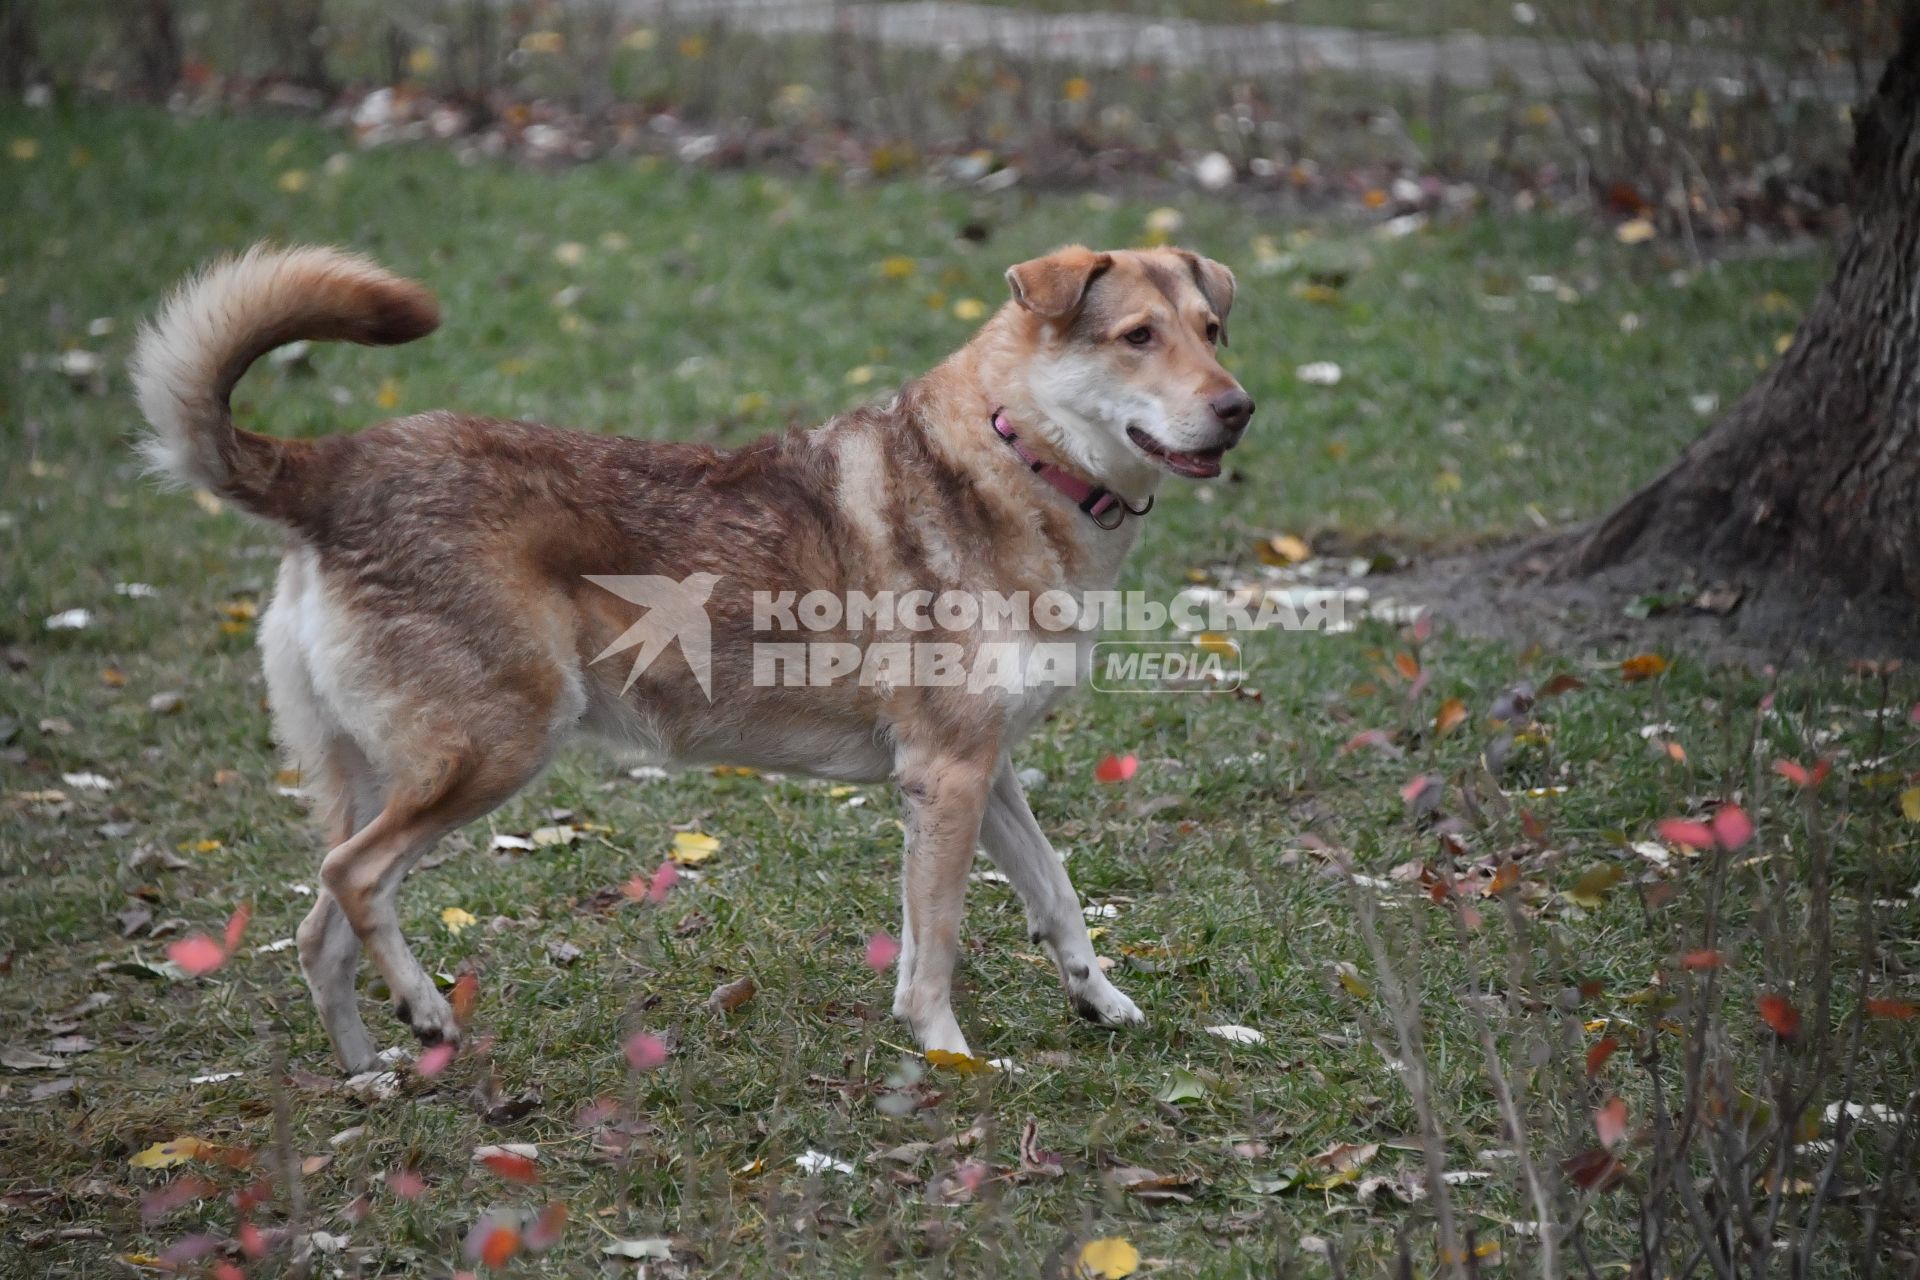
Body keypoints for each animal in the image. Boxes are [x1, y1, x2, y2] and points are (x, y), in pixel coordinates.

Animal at [127, 239, 1251, 1074]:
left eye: (1212, 332)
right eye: (1137, 337)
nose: (1238, 407)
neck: (1015, 455)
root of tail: (331, 465)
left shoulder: (981, 771)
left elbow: (1055, 898)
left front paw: (1104, 1003)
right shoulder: (948, 776)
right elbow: (938, 947)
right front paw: (948, 1057)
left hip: (379, 772)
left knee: (318, 930)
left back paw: (375, 1069)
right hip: (498, 749)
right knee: (356, 878)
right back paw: (429, 1010)